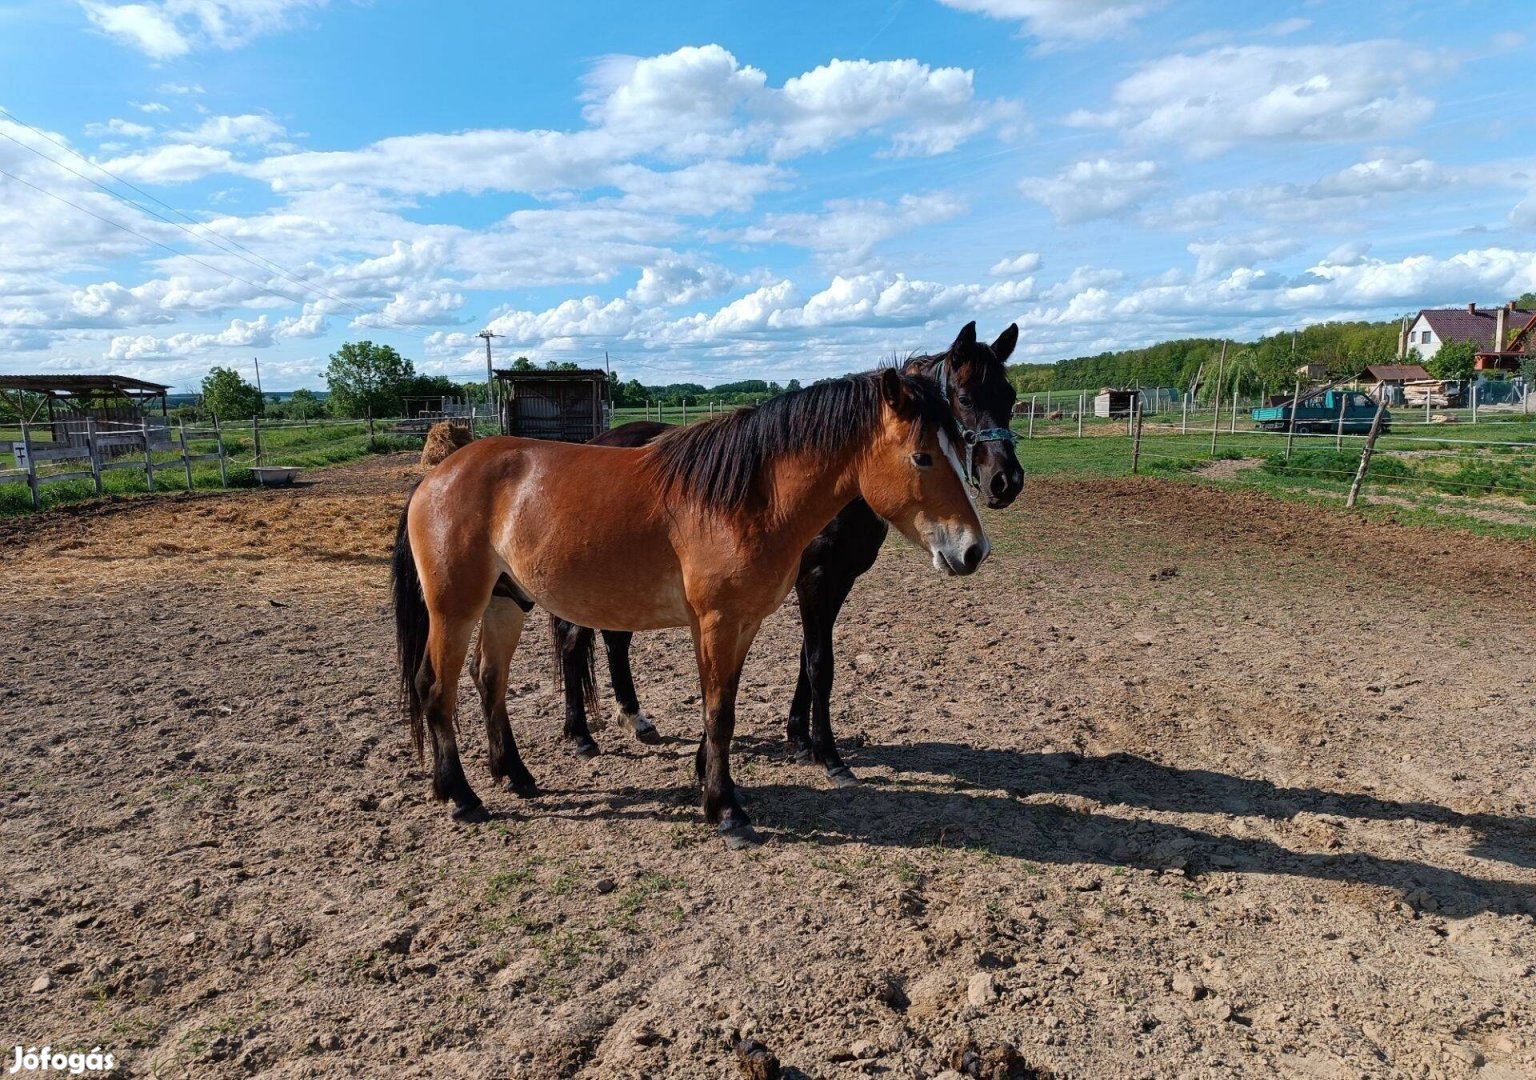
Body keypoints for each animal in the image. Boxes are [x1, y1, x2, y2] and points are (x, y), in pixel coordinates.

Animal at [393, 367, 983, 848]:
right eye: (922, 456)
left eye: (961, 448)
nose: (973, 550)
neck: (746, 499)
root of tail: (435, 477)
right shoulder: (719, 621)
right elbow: (720, 712)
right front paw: (726, 811)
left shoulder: (742, 623)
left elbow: (722, 706)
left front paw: (709, 782)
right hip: (454, 610)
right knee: (436, 689)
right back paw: (462, 796)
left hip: (506, 604)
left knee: (488, 680)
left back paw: (515, 775)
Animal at [549, 321, 1019, 786]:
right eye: (964, 398)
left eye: (1011, 397)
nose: (1006, 481)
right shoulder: (813, 578)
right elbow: (819, 664)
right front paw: (829, 756)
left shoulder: (839, 579)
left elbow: (807, 660)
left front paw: (800, 739)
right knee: (574, 640)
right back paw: (580, 735)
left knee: (614, 638)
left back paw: (635, 719)